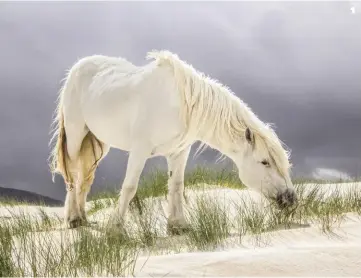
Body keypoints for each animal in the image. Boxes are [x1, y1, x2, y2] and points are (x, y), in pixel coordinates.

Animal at [47, 50, 296, 230]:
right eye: (265, 162)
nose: (291, 198)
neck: (182, 104)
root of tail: (78, 66)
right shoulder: (139, 150)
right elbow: (129, 187)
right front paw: (116, 228)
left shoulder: (179, 152)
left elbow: (176, 186)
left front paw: (178, 225)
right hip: (76, 134)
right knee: (73, 174)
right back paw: (73, 220)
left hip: (100, 141)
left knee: (85, 178)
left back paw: (82, 217)